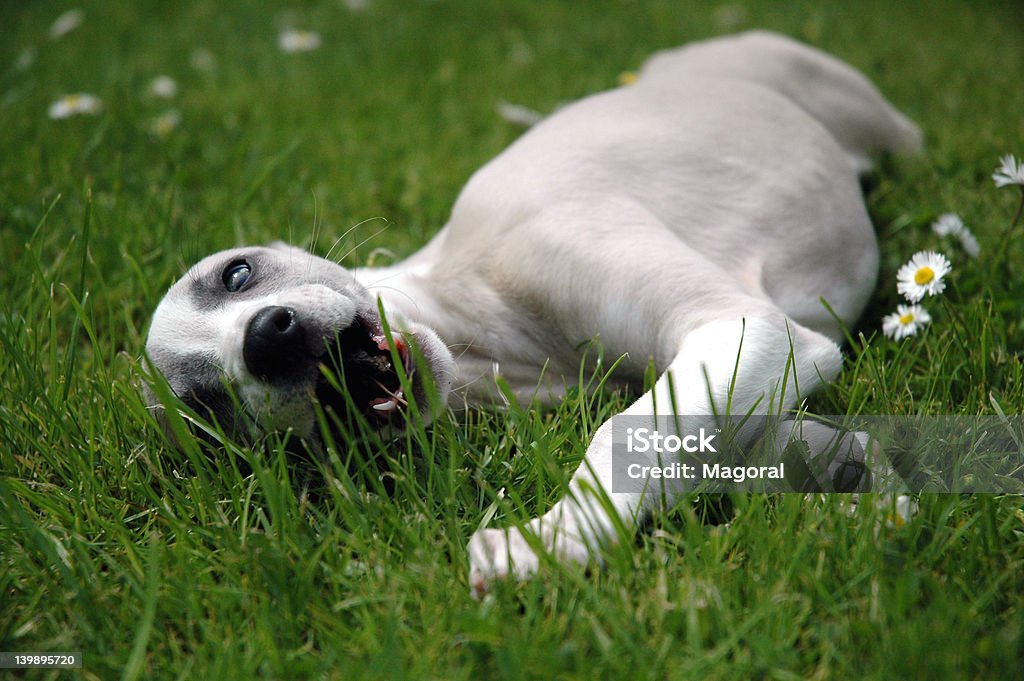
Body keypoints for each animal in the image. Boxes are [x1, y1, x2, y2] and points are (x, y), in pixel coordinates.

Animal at [144, 31, 921, 593]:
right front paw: (851, 482)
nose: (266, 339)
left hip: (870, 120)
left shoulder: (743, 327)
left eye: (236, 273)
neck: (486, 337)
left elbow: (622, 433)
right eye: (209, 408)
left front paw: (548, 540)